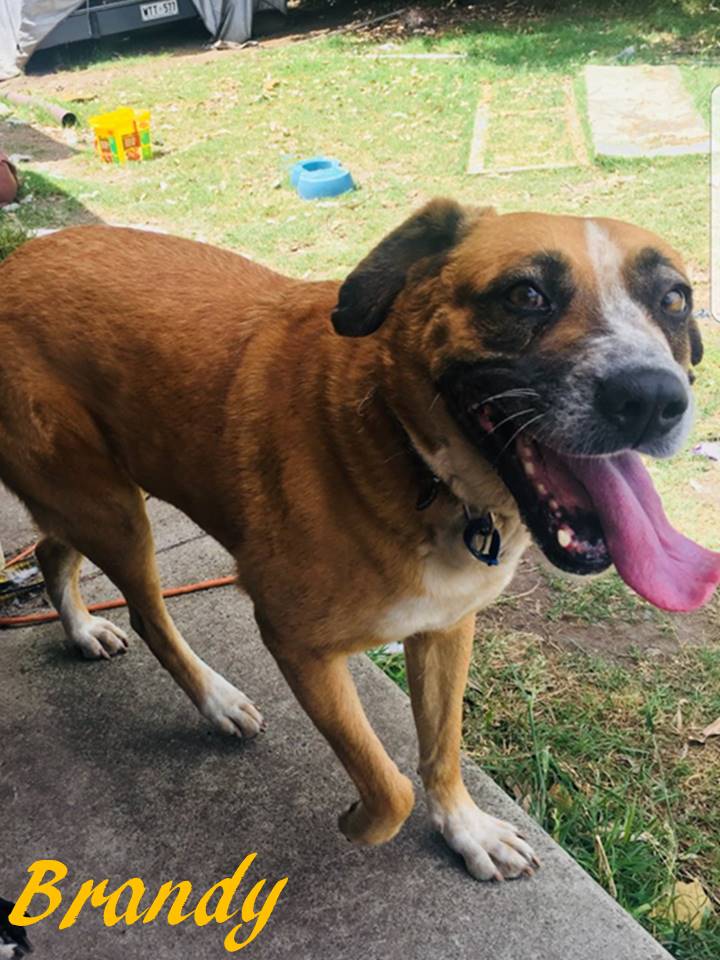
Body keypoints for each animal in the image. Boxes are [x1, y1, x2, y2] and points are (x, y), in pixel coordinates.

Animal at [1, 200, 718, 882]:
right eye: (526, 294)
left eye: (674, 300)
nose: (652, 398)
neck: (416, 461)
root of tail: (18, 263)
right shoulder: (298, 645)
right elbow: (389, 785)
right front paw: (358, 821)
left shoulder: (446, 629)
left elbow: (441, 750)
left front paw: (466, 830)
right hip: (114, 511)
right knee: (149, 616)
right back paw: (216, 700)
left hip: (102, 495)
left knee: (51, 550)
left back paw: (82, 629)